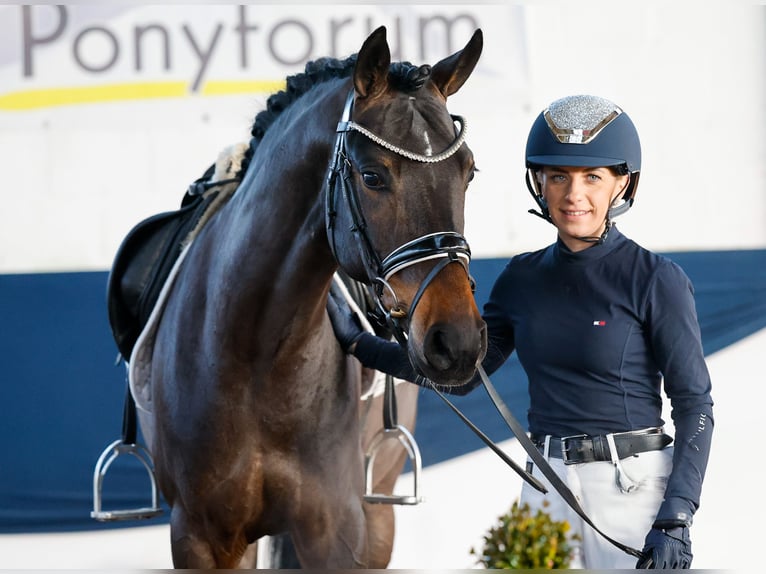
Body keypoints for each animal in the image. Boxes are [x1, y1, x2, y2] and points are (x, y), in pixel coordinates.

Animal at [134, 24, 486, 568]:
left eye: (468, 172)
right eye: (372, 176)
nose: (458, 341)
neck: (255, 350)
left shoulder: (337, 533)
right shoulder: (200, 537)